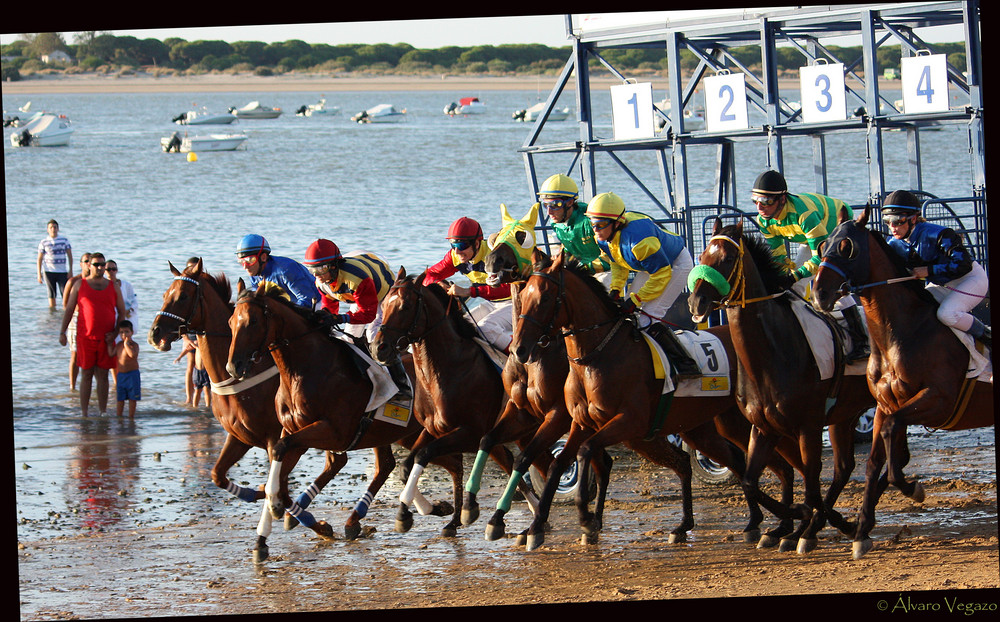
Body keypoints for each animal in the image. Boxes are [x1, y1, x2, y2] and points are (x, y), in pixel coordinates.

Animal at [146, 260, 338, 564]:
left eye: (183, 296)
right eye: (166, 293)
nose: (155, 334)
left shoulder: (278, 439)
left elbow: (279, 487)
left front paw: (308, 523)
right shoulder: (239, 437)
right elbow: (217, 474)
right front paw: (255, 495)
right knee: (335, 462)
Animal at [224, 280, 460, 540]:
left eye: (253, 321)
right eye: (231, 322)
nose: (233, 367)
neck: (304, 369)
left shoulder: (331, 432)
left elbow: (280, 454)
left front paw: (280, 512)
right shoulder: (294, 431)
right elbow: (280, 476)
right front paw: (287, 520)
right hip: (402, 433)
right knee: (396, 465)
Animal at [372, 270, 544, 540]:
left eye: (406, 306)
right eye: (385, 304)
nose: (379, 347)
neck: (448, 369)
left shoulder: (469, 433)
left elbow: (424, 454)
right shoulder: (433, 429)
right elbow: (406, 465)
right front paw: (417, 510)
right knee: (519, 462)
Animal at [688, 218, 876, 556]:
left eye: (727, 258)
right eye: (702, 256)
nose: (697, 301)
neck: (773, 353)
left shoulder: (808, 427)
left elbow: (811, 487)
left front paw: (804, 526)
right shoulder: (763, 427)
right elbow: (750, 482)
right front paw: (792, 525)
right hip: (845, 414)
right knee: (843, 468)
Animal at [812, 205, 992, 560]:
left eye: (847, 247)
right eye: (823, 245)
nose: (820, 292)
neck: (901, 334)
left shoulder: (937, 400)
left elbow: (893, 445)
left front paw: (913, 488)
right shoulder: (885, 404)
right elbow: (875, 460)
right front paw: (861, 532)